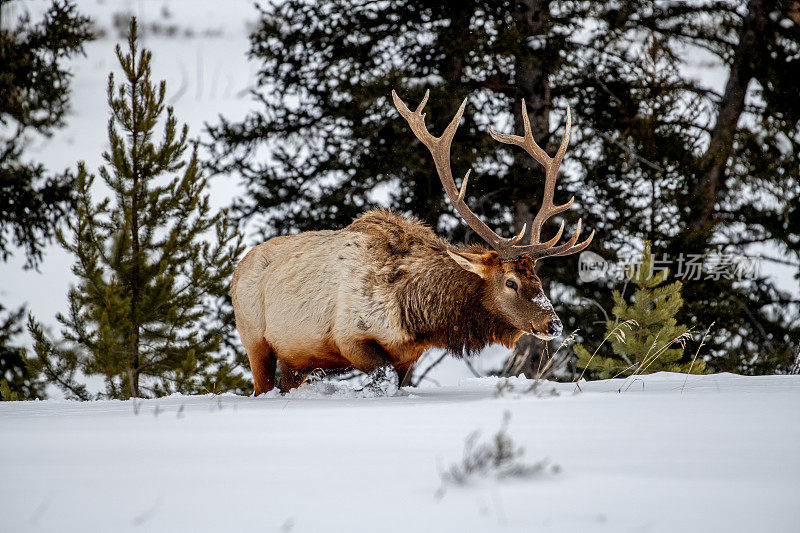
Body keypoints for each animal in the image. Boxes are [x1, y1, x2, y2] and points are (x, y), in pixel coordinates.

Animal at [228, 89, 592, 392]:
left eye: (539, 279)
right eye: (511, 282)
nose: (553, 324)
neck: (414, 314)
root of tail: (237, 268)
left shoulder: (408, 356)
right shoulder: (349, 336)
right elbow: (380, 379)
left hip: (294, 357)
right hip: (254, 338)